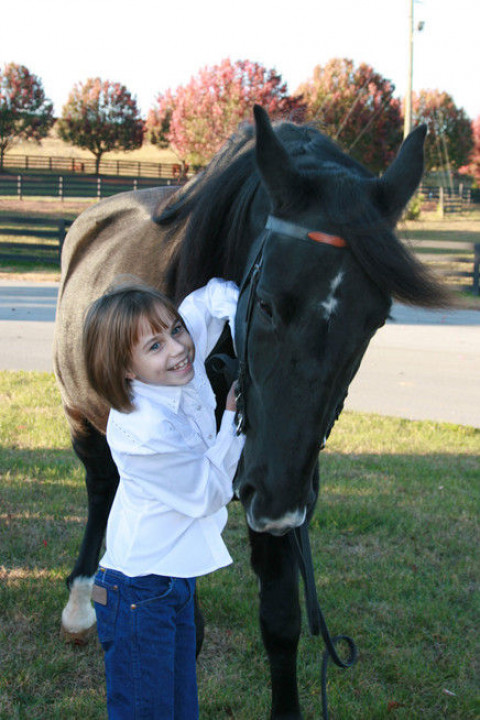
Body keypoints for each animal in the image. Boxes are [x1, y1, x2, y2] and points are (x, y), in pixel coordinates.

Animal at [52, 107, 446, 720]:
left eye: (377, 320)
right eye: (265, 303)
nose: (279, 499)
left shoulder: (285, 490)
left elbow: (281, 620)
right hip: (82, 418)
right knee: (100, 487)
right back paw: (79, 600)